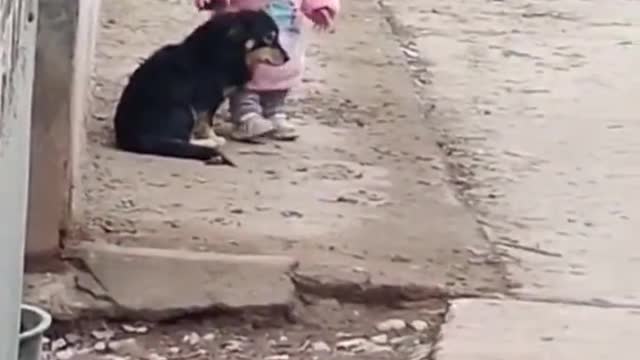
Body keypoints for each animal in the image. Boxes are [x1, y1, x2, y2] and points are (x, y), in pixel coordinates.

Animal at [112, 9, 288, 165]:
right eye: (269, 37)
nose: (288, 58)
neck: (229, 49)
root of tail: (131, 136)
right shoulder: (208, 100)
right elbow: (206, 122)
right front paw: (213, 138)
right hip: (183, 110)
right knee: (181, 139)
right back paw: (207, 144)